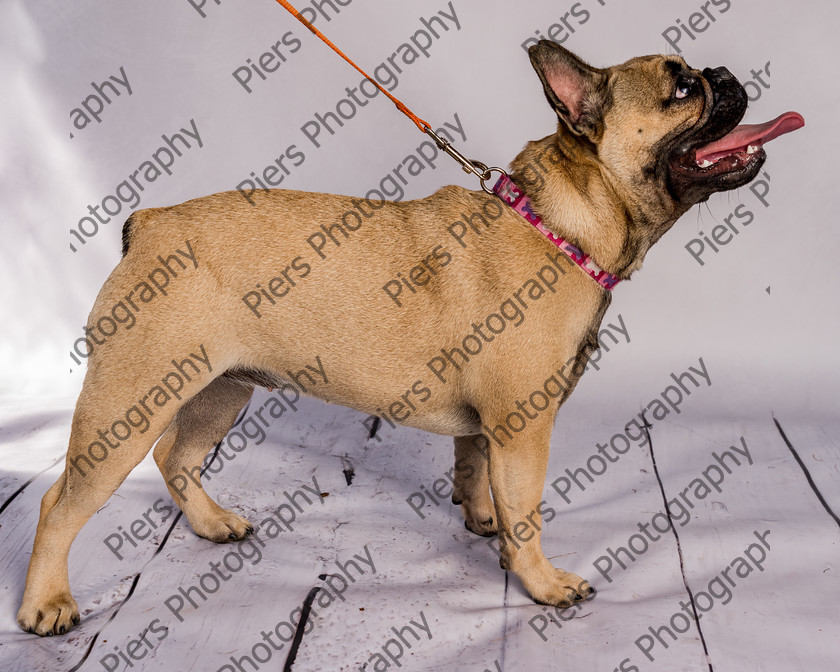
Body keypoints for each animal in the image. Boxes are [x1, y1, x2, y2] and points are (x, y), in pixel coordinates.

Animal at [19, 42, 800, 636]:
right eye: (683, 88)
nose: (724, 73)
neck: (562, 225)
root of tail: (148, 224)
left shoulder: (492, 426)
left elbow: (476, 469)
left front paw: (481, 522)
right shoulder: (525, 425)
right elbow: (528, 509)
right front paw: (541, 581)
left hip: (222, 389)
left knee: (176, 455)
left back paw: (213, 525)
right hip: (130, 401)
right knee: (63, 503)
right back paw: (46, 605)